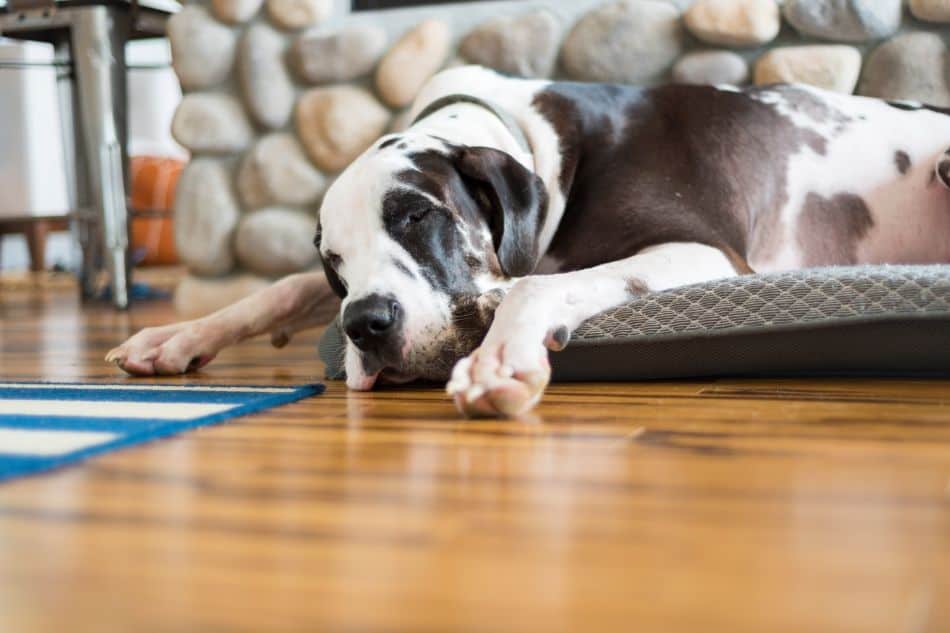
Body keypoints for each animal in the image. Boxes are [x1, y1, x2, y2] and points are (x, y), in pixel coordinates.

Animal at [108, 66, 950, 418]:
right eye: (334, 262)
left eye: (416, 216)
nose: (365, 325)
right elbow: (277, 287)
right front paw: (176, 336)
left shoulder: (706, 251)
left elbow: (541, 281)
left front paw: (500, 358)